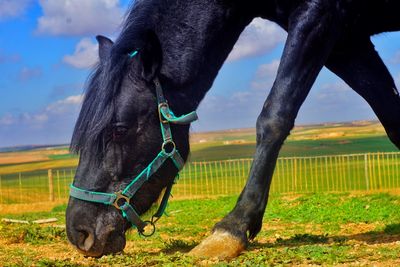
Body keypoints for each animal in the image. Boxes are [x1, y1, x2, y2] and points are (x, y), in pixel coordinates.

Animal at [65, 0, 400, 260]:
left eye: (119, 130)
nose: (78, 233)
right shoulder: (347, 40)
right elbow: (393, 119)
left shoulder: (320, 15)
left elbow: (274, 115)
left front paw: (232, 228)